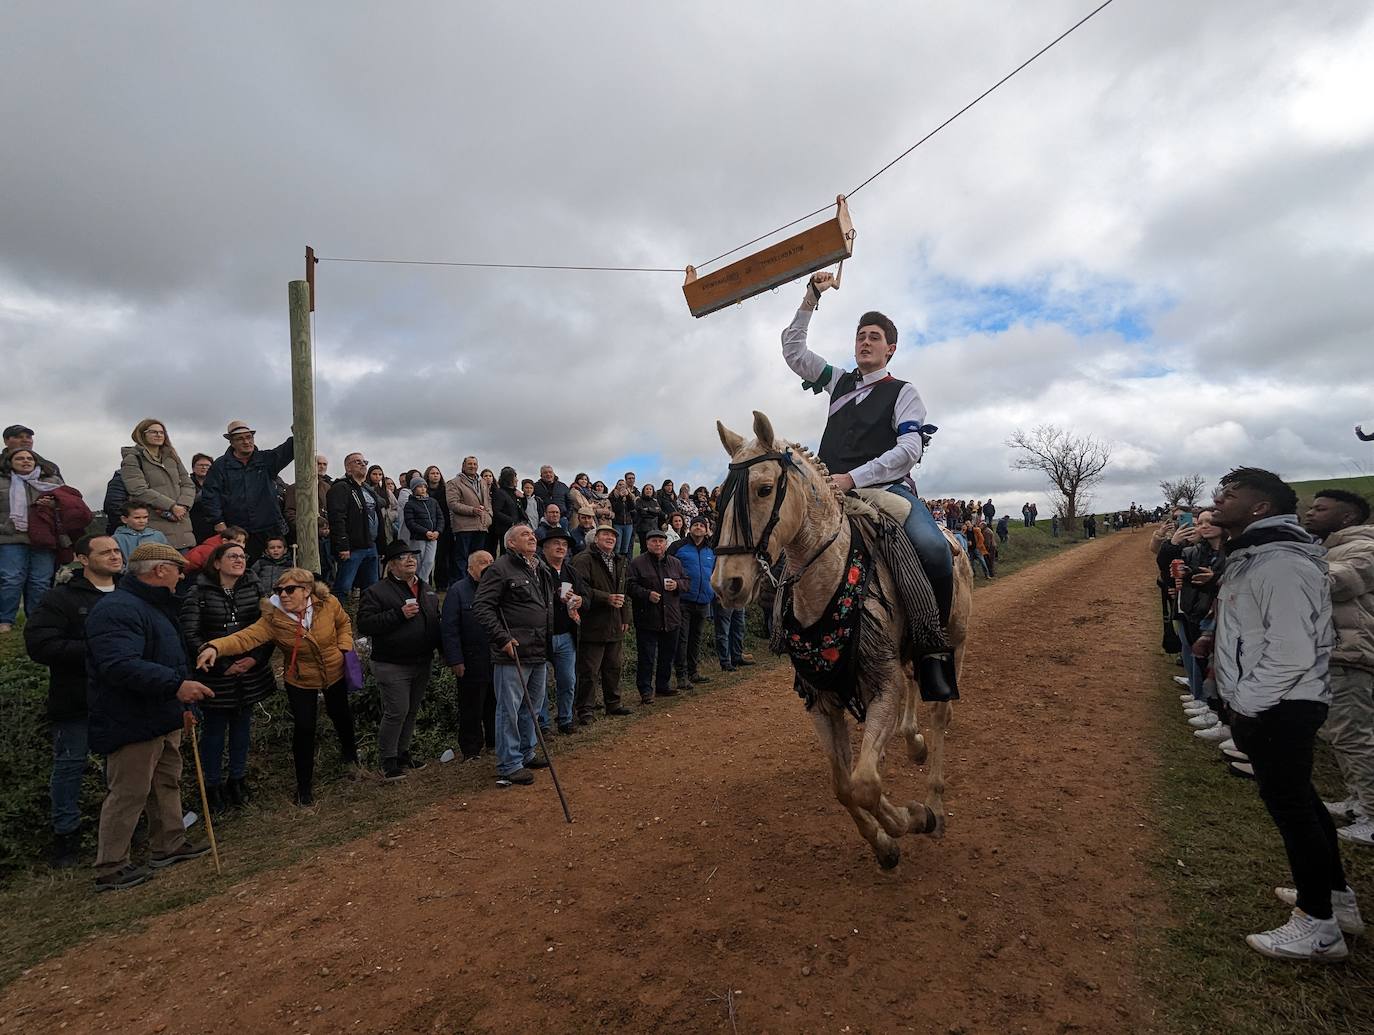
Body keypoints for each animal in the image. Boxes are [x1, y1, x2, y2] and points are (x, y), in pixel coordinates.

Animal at [714, 406, 972, 868]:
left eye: (764, 489)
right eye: (720, 498)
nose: (727, 584)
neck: (829, 580)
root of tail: (953, 536)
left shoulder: (882, 684)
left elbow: (864, 784)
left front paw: (911, 819)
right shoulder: (821, 697)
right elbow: (844, 784)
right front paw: (885, 844)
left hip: (953, 643)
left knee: (940, 713)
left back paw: (935, 806)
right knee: (912, 694)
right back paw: (912, 742)